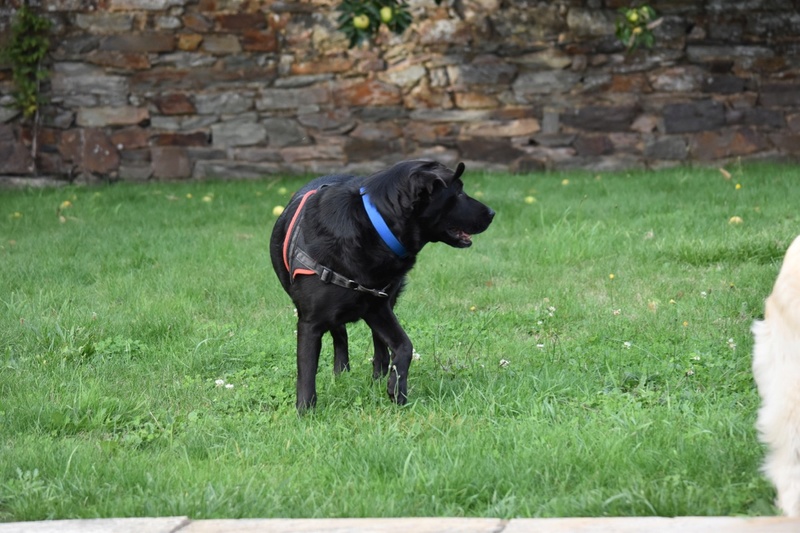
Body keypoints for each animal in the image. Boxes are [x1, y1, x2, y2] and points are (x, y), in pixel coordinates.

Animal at [268, 160, 494, 410]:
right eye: (459, 192)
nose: (492, 213)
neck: (374, 225)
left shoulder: (377, 306)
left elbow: (404, 346)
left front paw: (397, 388)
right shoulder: (310, 322)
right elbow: (307, 372)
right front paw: (305, 411)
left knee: (378, 346)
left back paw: (377, 375)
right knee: (340, 335)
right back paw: (342, 373)